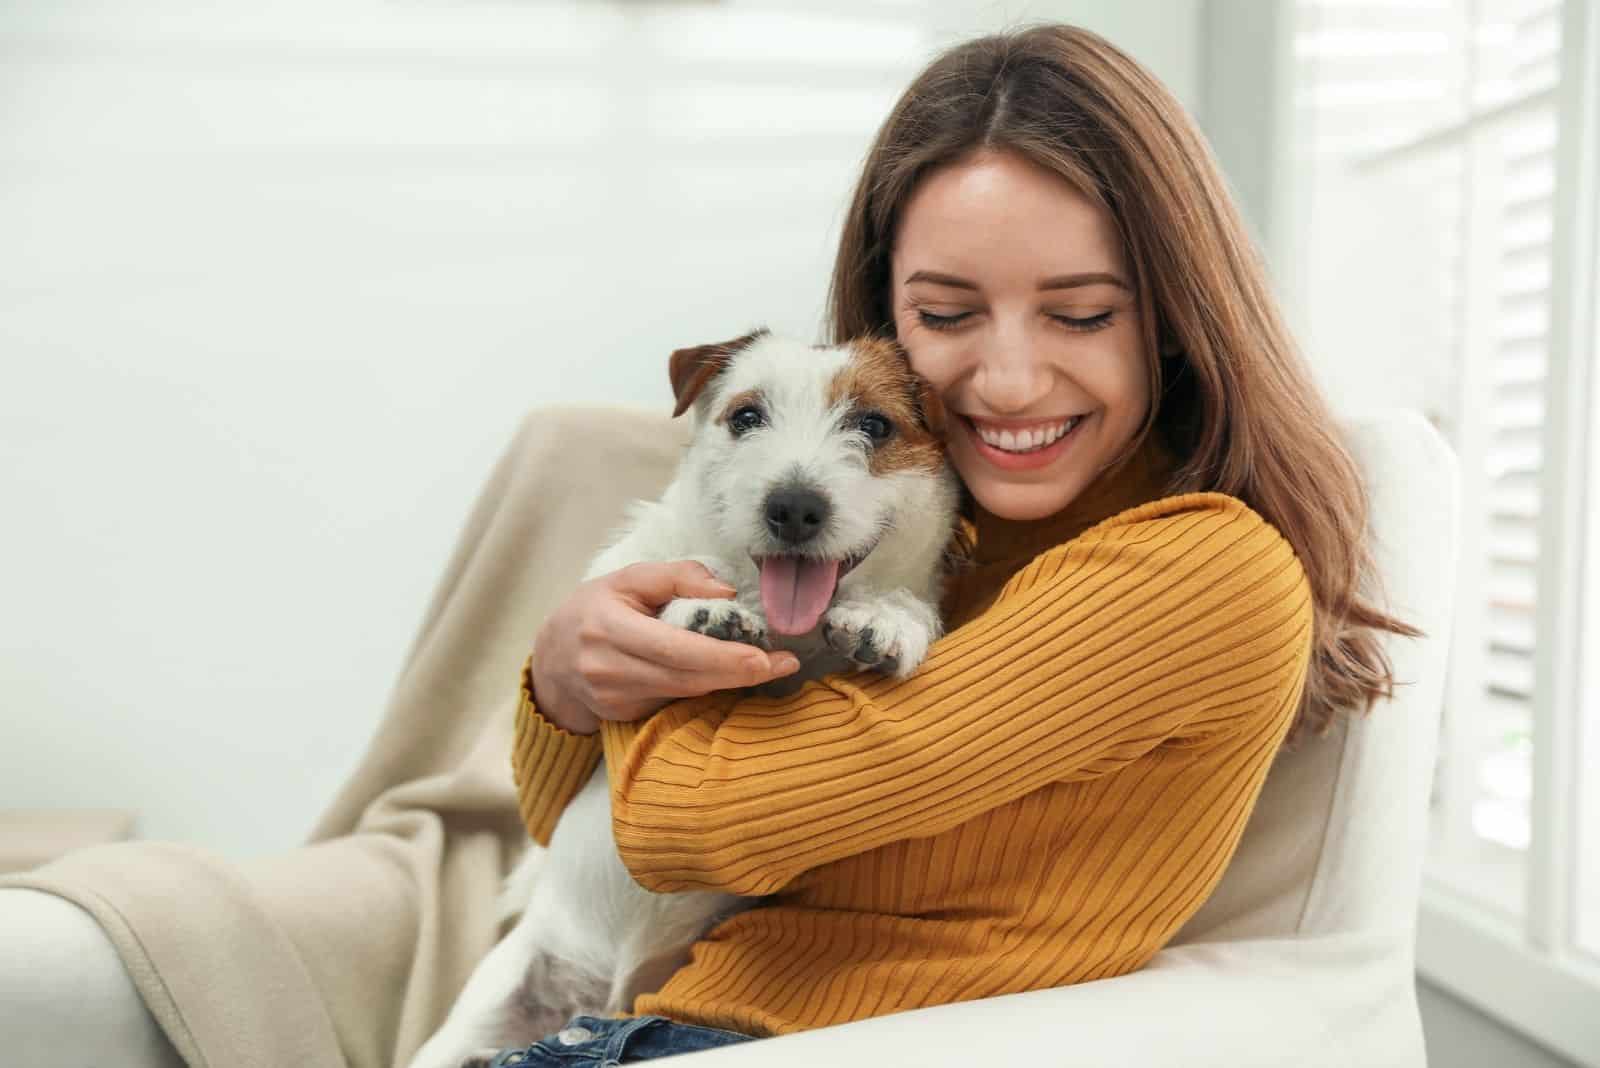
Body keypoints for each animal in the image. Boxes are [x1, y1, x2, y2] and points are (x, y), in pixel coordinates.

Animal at [409, 329, 960, 1068]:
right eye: (746, 416)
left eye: (874, 425)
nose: (792, 507)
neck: (787, 625)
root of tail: (597, 997)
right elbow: (677, 576)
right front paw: (705, 608)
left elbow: (902, 605)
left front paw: (888, 618)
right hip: (487, 1007)